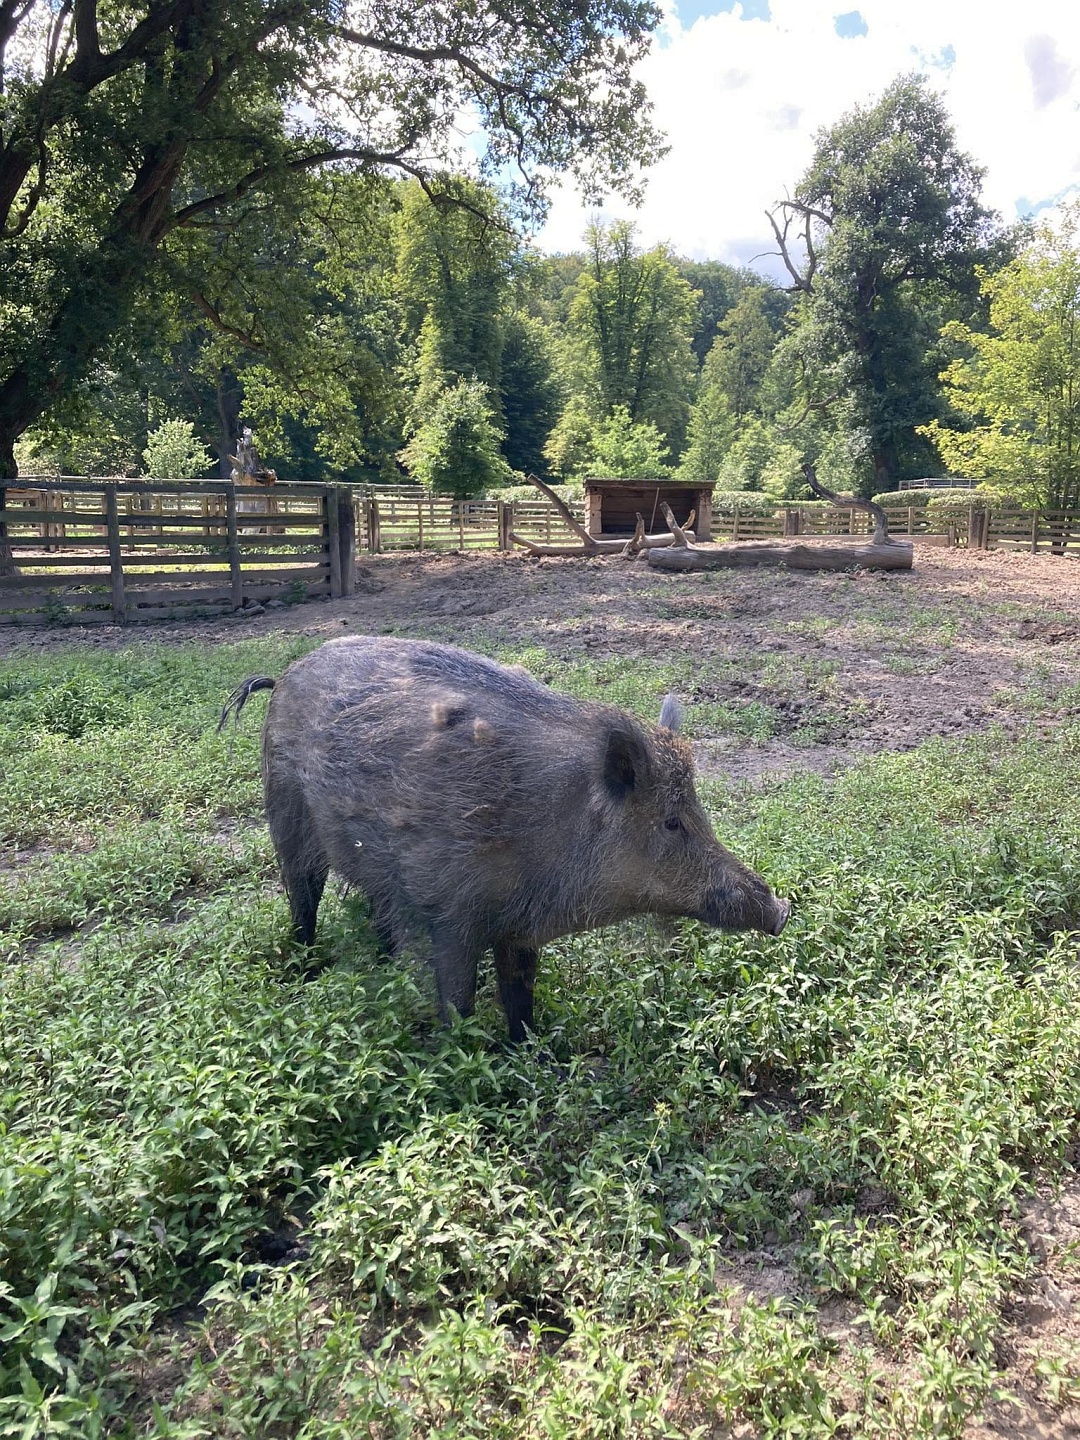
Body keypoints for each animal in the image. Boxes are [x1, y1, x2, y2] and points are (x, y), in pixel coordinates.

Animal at [219, 637, 790, 1041]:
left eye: (699, 809)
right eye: (671, 821)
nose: (781, 910)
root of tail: (285, 675)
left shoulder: (519, 929)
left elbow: (520, 997)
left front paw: (533, 1057)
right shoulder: (451, 916)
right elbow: (459, 1001)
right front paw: (457, 1055)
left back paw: (382, 964)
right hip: (284, 814)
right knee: (303, 898)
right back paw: (304, 971)